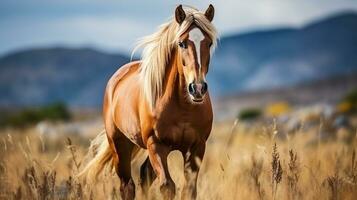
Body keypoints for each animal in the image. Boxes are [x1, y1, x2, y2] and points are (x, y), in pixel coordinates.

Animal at [79, 4, 216, 200]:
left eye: (209, 43)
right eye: (181, 43)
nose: (197, 88)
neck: (183, 108)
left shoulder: (197, 147)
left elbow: (189, 190)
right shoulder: (156, 145)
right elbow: (167, 186)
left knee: (144, 175)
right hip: (120, 145)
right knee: (127, 185)